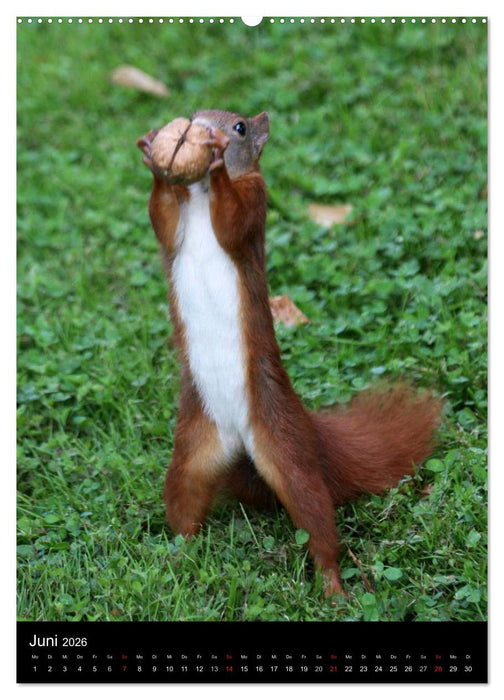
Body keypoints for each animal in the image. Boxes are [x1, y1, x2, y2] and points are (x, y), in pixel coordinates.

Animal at [137, 109, 441, 598]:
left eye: (241, 127)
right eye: (196, 115)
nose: (204, 129)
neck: (199, 197)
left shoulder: (256, 200)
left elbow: (234, 220)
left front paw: (217, 163)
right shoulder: (175, 224)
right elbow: (162, 218)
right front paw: (154, 155)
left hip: (287, 450)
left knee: (316, 518)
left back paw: (332, 587)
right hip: (193, 453)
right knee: (184, 508)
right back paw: (177, 558)